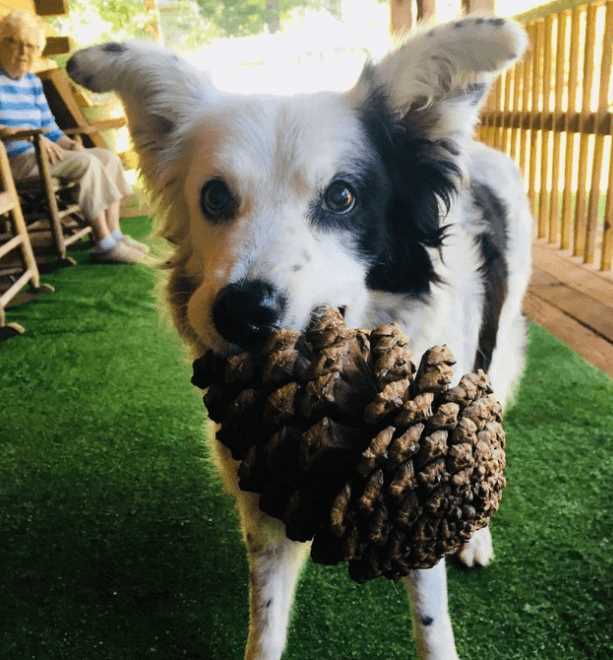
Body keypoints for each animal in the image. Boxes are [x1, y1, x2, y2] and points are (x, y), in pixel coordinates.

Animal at [68, 16, 532, 660]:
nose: (243, 311)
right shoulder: (263, 499)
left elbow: (431, 617)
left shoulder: (419, 497)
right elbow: (266, 622)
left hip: (497, 349)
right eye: (214, 196)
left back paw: (475, 536)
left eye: (342, 196)